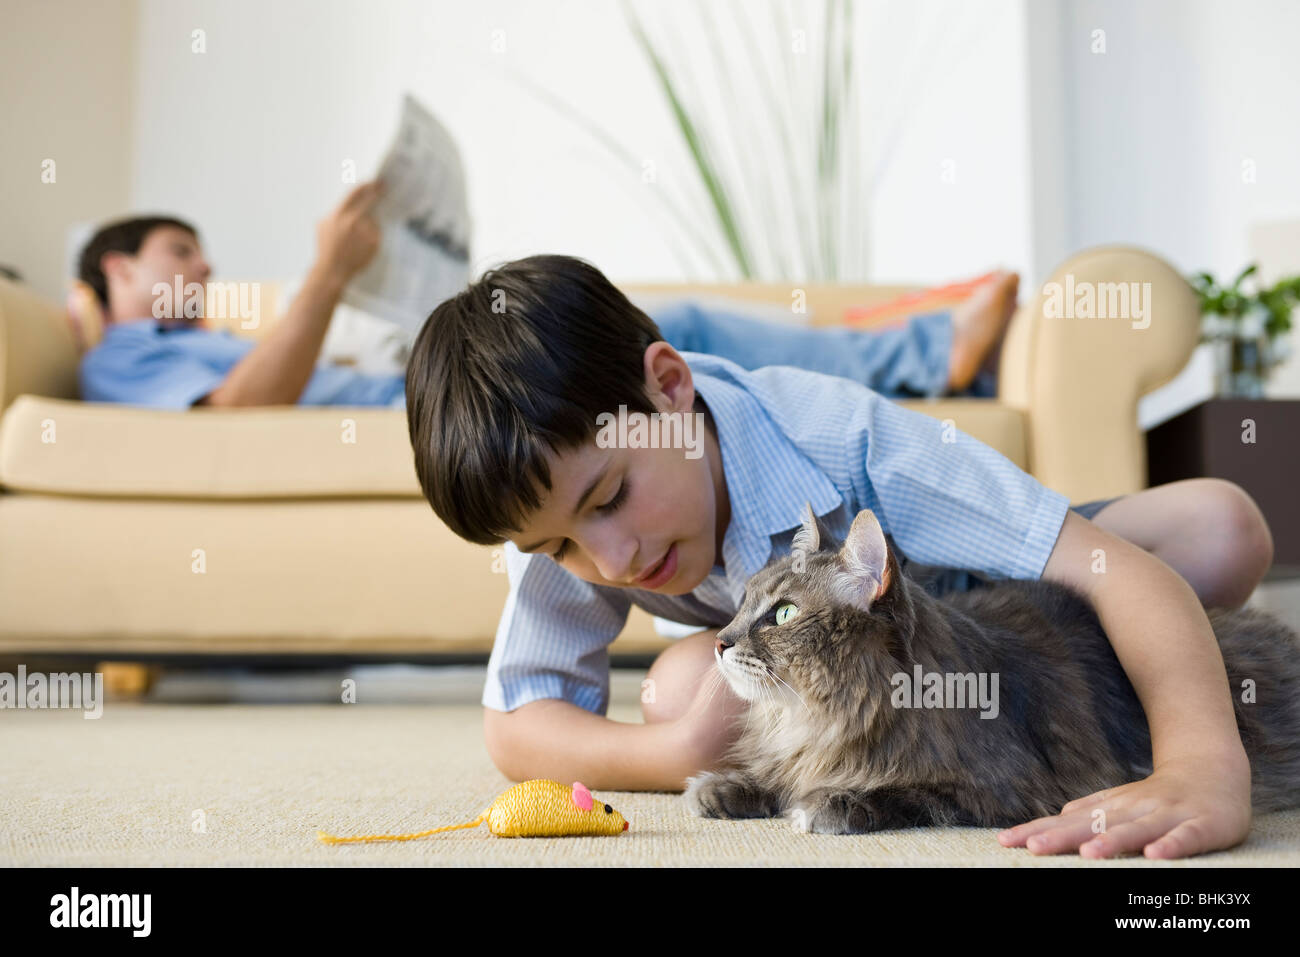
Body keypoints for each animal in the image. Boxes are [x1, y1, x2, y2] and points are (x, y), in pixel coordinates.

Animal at [681, 504, 1300, 832]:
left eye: (783, 614)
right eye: (742, 603)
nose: (720, 643)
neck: (821, 719)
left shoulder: (1012, 791)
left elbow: (906, 794)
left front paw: (828, 804)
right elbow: (771, 778)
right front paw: (724, 788)